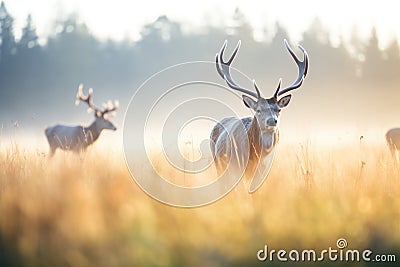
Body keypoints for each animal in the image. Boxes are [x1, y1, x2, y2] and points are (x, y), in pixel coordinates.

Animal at [211, 40, 308, 191]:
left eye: (278, 109)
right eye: (258, 110)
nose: (272, 121)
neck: (256, 157)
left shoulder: (263, 172)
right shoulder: (237, 168)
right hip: (219, 164)